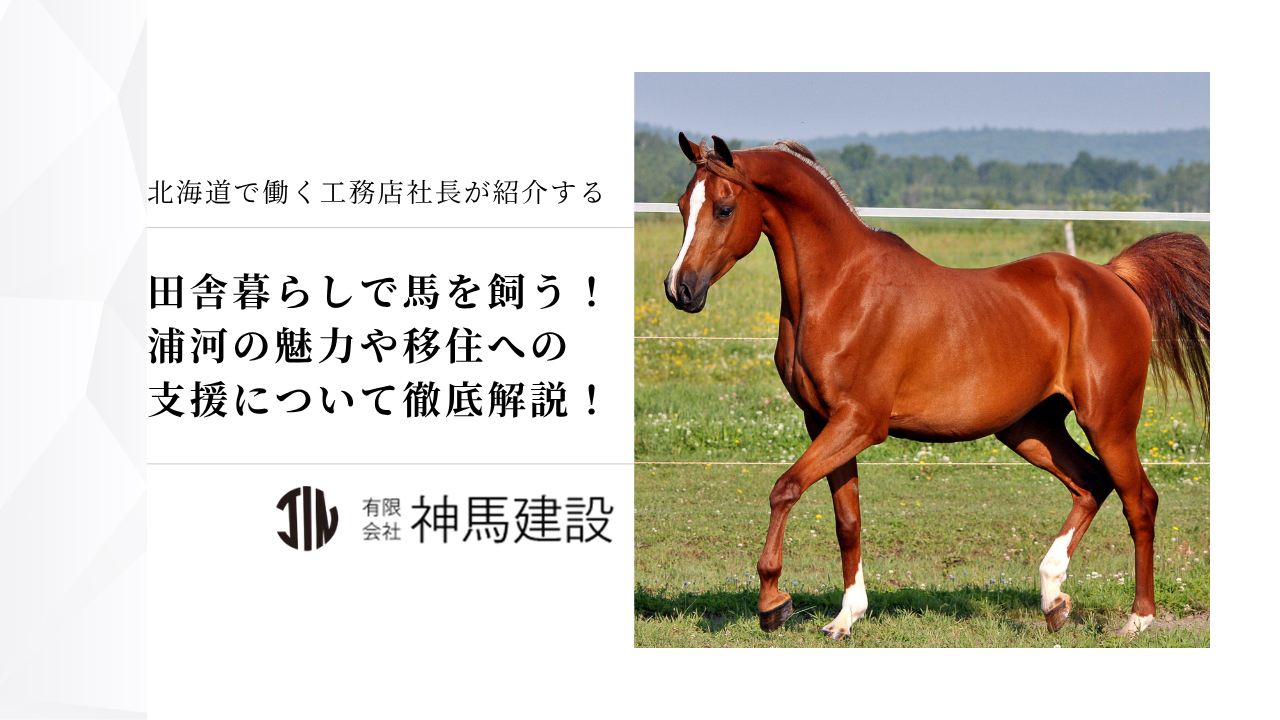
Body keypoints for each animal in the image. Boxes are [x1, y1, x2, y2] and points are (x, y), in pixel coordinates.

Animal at [662, 133, 1210, 639]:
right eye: (682, 205)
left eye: (725, 208)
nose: (680, 289)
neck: (842, 288)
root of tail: (1114, 278)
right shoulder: (824, 422)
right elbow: (847, 521)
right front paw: (845, 617)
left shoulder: (860, 422)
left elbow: (786, 488)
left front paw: (773, 602)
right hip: (1030, 428)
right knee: (1091, 483)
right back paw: (1053, 598)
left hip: (1109, 422)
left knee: (1139, 501)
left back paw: (1138, 619)